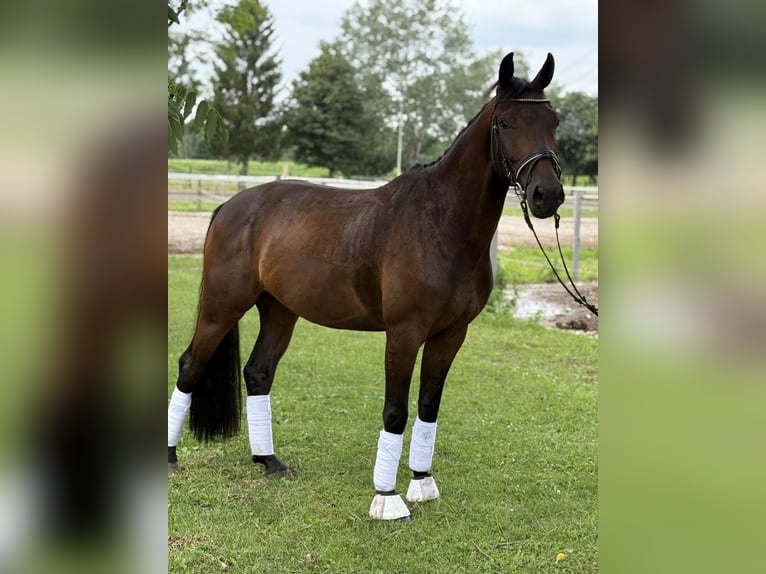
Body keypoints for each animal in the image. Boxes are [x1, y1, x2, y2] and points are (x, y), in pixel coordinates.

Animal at [168, 52, 564, 521]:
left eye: (554, 121)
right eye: (505, 122)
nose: (548, 196)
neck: (441, 224)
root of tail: (229, 205)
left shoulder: (451, 334)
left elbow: (428, 407)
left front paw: (422, 483)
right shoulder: (404, 333)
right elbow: (395, 411)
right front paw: (387, 498)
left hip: (280, 310)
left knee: (258, 373)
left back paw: (269, 461)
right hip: (222, 305)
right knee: (190, 366)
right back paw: (170, 458)